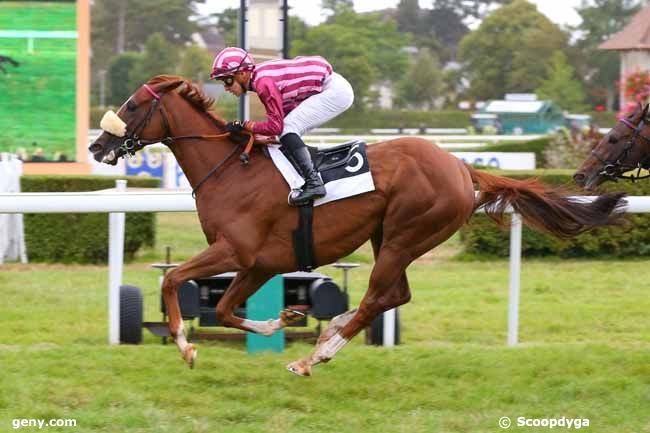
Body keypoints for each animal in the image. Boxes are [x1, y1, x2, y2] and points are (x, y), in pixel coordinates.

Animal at [90, 76, 624, 376]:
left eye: (133, 105)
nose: (97, 147)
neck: (229, 169)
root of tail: (460, 165)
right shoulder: (260, 263)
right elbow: (222, 308)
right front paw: (285, 318)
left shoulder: (236, 252)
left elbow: (175, 280)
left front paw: (185, 347)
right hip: (389, 235)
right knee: (393, 295)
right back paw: (329, 334)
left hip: (406, 234)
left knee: (375, 298)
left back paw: (315, 357)